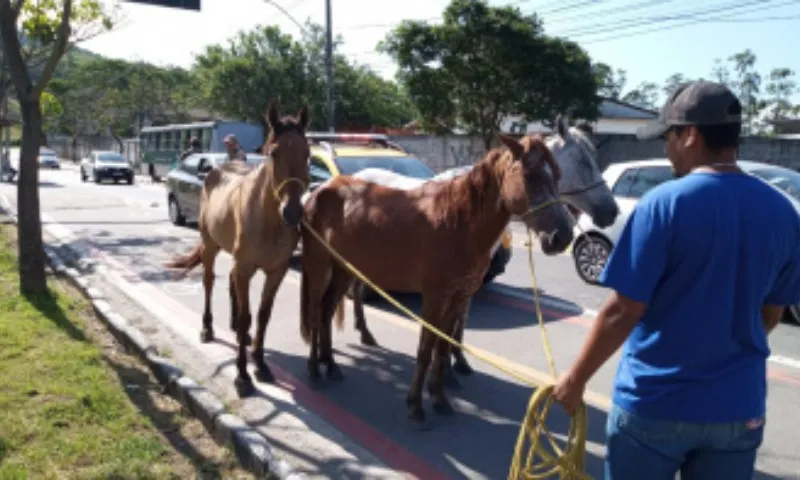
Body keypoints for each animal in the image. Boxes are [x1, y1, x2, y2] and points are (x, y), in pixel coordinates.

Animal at [165, 101, 310, 398]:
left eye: (308, 153)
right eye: (274, 153)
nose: (292, 213)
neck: (269, 219)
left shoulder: (276, 271)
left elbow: (263, 316)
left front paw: (261, 364)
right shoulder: (244, 267)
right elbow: (246, 317)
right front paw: (242, 376)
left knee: (232, 286)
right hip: (210, 247)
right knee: (209, 282)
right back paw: (207, 328)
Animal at [298, 133, 568, 426]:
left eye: (557, 176)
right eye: (530, 175)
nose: (562, 237)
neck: (459, 222)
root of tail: (319, 191)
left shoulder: (458, 297)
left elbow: (443, 346)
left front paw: (440, 398)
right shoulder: (435, 298)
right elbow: (426, 349)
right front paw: (416, 406)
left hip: (343, 271)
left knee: (326, 311)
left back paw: (330, 364)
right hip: (318, 267)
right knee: (316, 312)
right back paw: (314, 369)